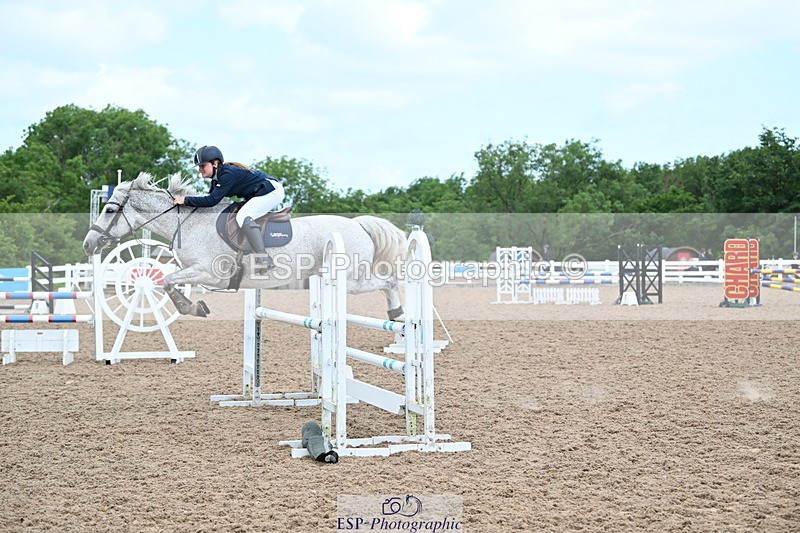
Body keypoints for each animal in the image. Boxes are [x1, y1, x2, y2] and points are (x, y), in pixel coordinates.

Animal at [83, 172, 408, 319]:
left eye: (109, 210)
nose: (89, 245)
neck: (189, 222)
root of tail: (359, 225)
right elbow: (167, 280)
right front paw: (195, 306)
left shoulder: (209, 273)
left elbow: (166, 280)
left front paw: (192, 307)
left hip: (351, 280)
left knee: (389, 281)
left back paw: (397, 313)